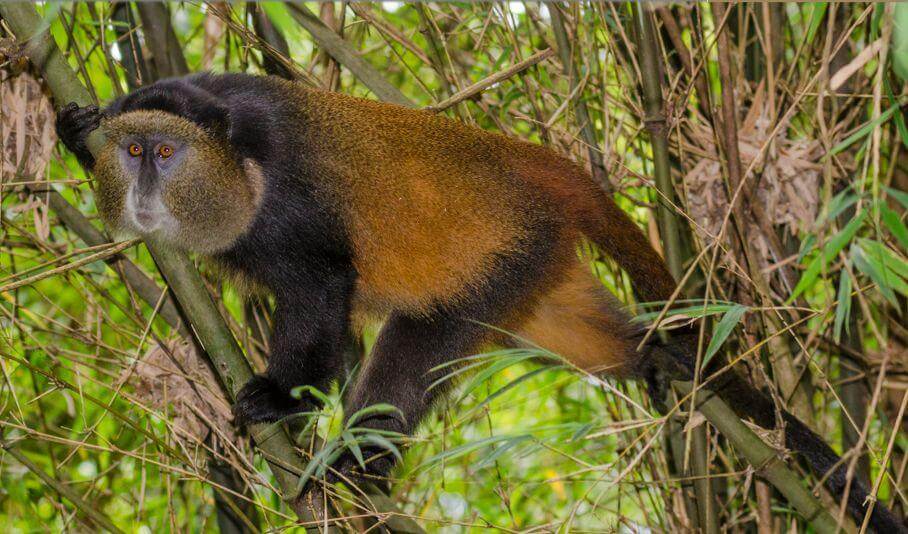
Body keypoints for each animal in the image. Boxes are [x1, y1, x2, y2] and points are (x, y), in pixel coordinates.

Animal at [55, 72, 904, 532]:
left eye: (165, 153)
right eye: (132, 151)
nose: (143, 185)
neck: (233, 164)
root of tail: (540, 165)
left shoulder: (289, 208)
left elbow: (326, 292)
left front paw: (280, 398)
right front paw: (75, 128)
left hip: (505, 257)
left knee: (414, 349)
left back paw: (356, 468)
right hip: (537, 274)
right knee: (599, 341)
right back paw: (660, 356)